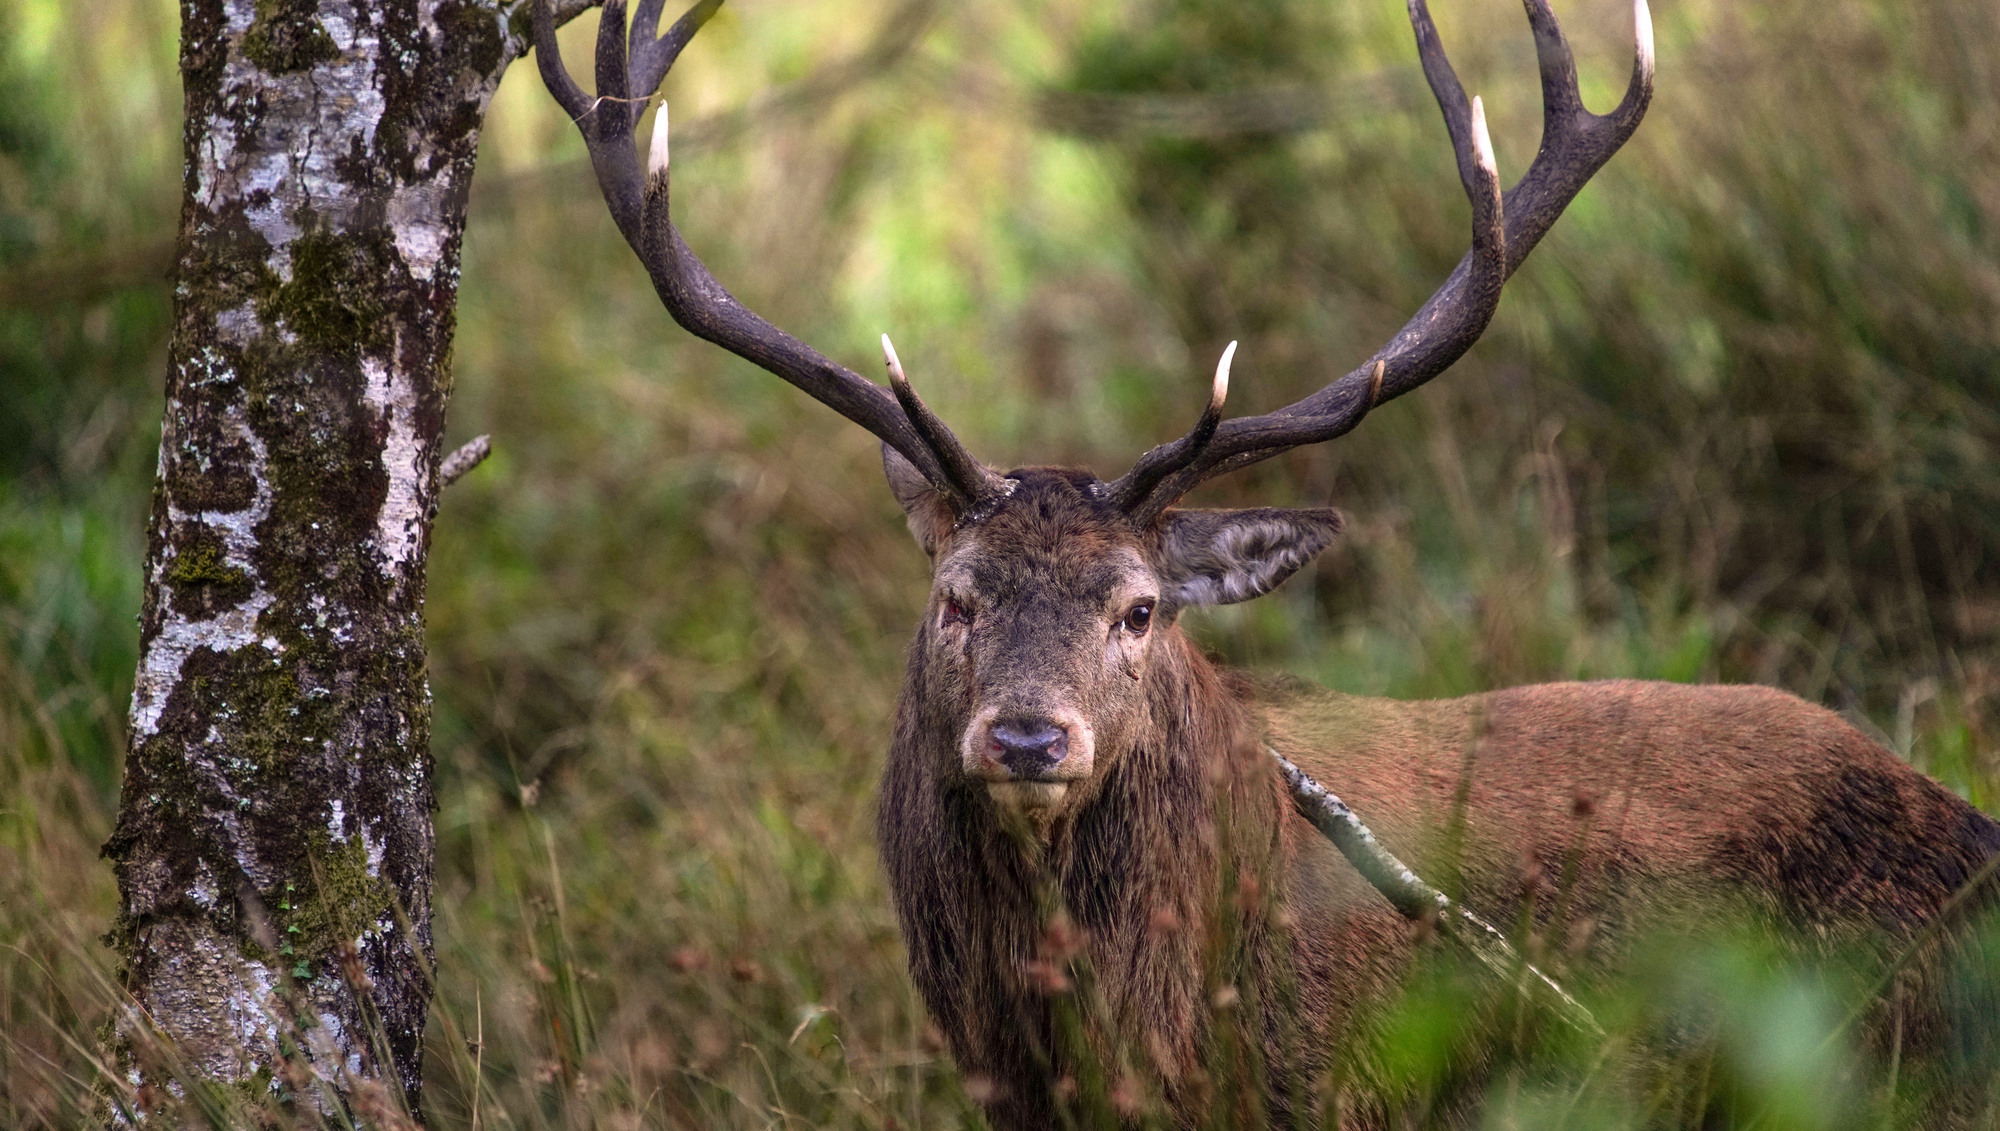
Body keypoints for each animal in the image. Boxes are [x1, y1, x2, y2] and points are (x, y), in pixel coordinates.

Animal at [533, 0, 2000, 1125]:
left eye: (1138, 610)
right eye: (956, 598)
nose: (1026, 737)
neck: (1139, 1044)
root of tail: (1961, 824)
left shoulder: (1341, 1087)